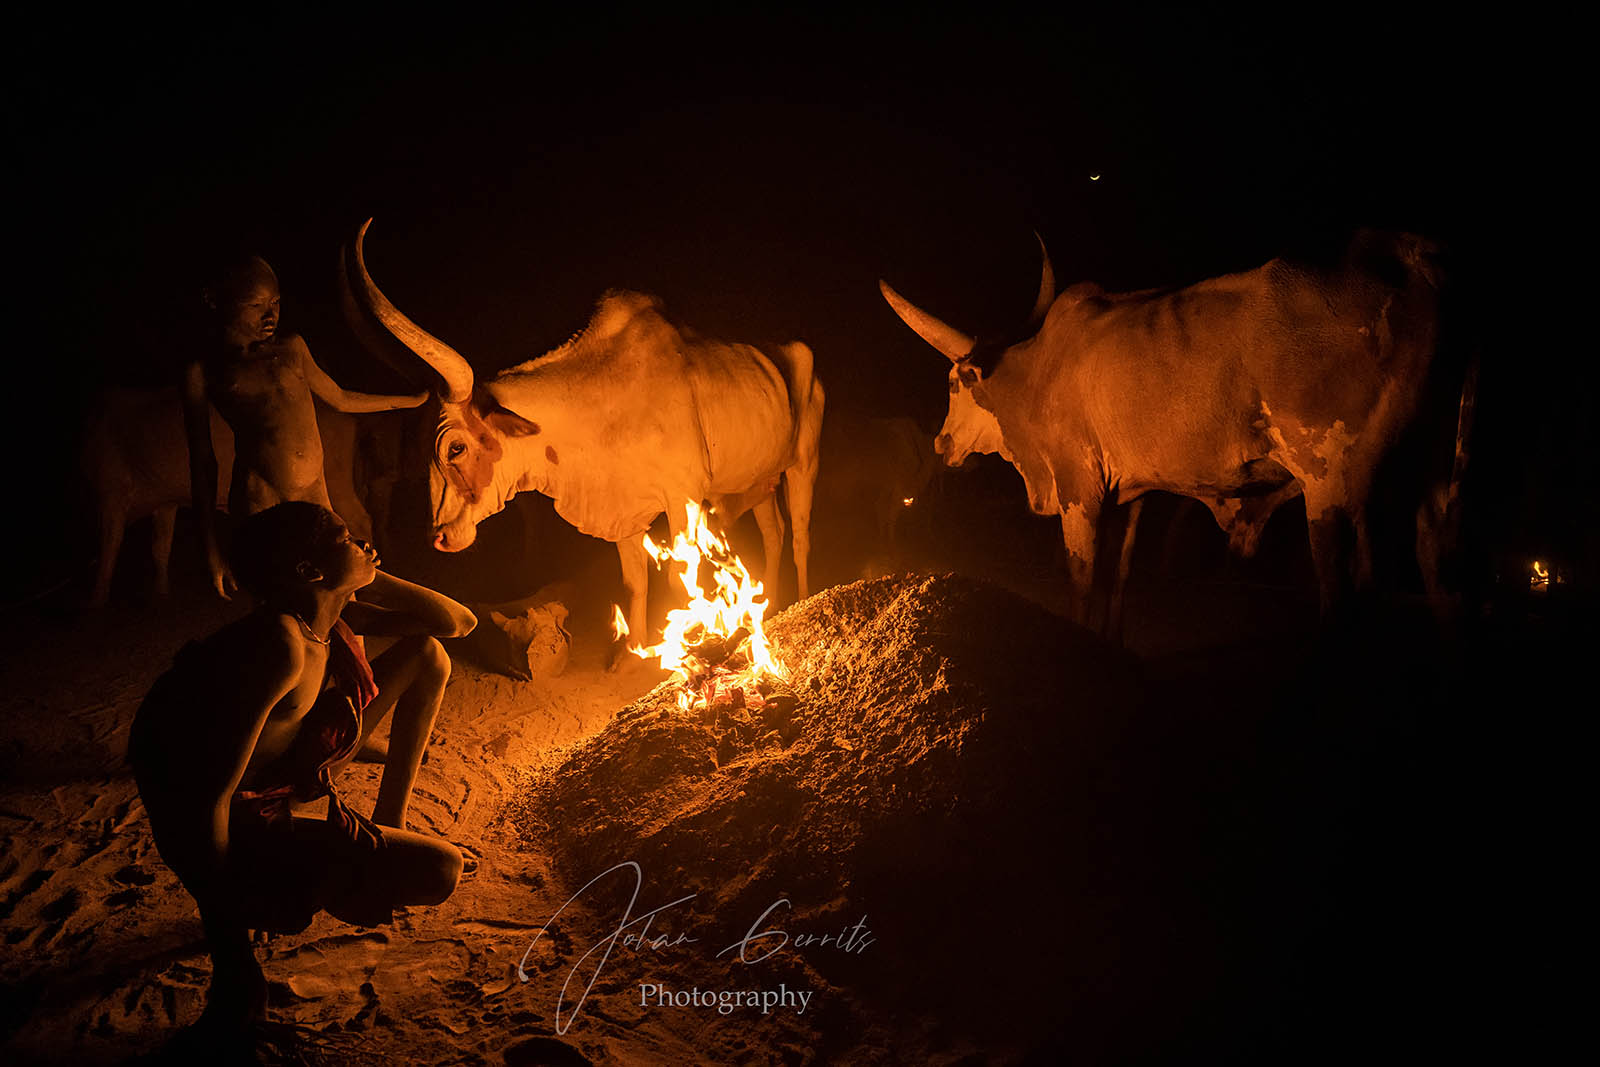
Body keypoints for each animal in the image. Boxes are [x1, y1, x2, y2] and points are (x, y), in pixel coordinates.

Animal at [82, 387, 381, 607]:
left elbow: (111, 546)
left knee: (359, 518)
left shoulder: (111, 491)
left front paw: (96, 601)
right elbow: (160, 546)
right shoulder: (165, 503)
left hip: (336, 480)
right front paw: (161, 594)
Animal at [341, 221, 826, 662]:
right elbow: (635, 581)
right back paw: (773, 603)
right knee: (774, 532)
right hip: (757, 482)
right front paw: (631, 655)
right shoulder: (628, 514)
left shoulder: (684, 500)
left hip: (803, 464)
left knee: (801, 534)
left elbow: (680, 582)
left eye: (454, 447)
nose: (438, 537)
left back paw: (802, 598)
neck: (605, 402)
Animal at [881, 229, 1457, 628]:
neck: (1036, 373)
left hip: (1331, 483)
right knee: (1432, 558)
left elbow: (1082, 579)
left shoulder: (1078, 492)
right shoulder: (1129, 494)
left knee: (1343, 581)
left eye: (954, 383)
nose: (942, 442)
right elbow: (1119, 577)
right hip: (1429, 475)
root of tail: (1411, 253)